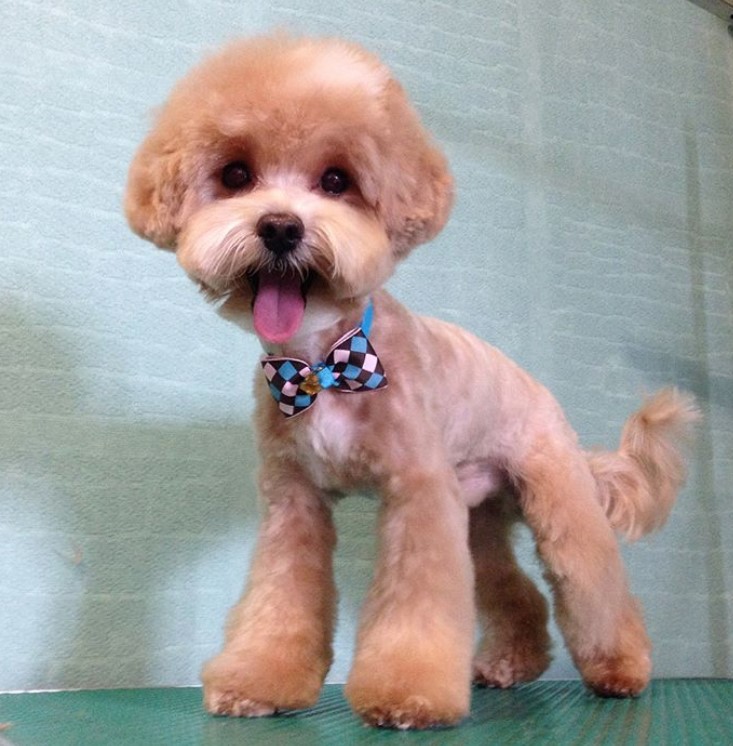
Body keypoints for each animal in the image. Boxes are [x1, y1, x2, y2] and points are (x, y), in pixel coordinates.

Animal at [124, 35, 696, 728]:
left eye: (336, 180)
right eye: (236, 175)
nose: (281, 227)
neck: (325, 363)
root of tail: (540, 392)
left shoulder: (418, 494)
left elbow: (417, 606)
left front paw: (407, 693)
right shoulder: (294, 503)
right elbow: (279, 598)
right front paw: (257, 680)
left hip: (555, 497)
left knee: (591, 583)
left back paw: (621, 668)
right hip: (477, 514)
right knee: (515, 592)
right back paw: (509, 663)